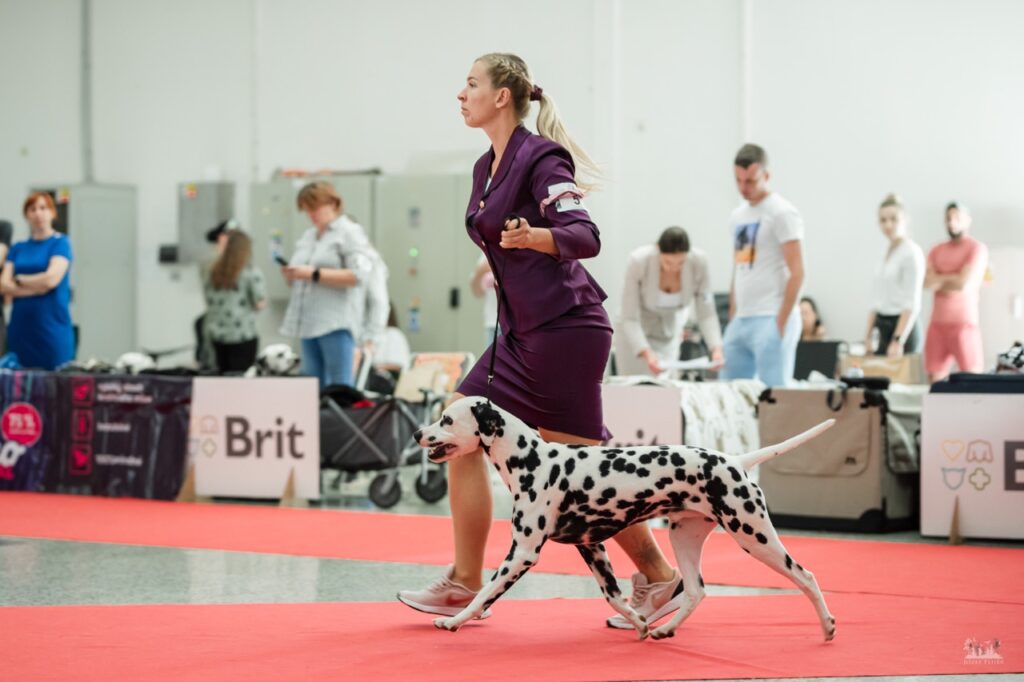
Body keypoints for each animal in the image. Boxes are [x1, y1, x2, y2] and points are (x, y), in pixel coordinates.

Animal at [414, 396, 837, 642]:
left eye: (446, 419)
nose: (418, 433)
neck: (534, 461)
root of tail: (735, 461)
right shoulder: (592, 548)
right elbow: (614, 597)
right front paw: (639, 622)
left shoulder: (522, 554)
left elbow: (484, 592)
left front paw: (454, 621)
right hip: (684, 538)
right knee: (696, 591)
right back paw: (665, 629)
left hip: (755, 537)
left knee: (807, 576)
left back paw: (828, 627)